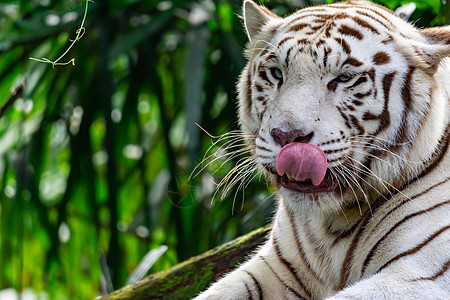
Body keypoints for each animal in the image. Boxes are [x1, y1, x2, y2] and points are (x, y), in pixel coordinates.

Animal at [195, 1, 450, 298]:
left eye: (345, 78)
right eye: (277, 73)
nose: (287, 135)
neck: (331, 226)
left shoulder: (418, 275)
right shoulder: (273, 267)